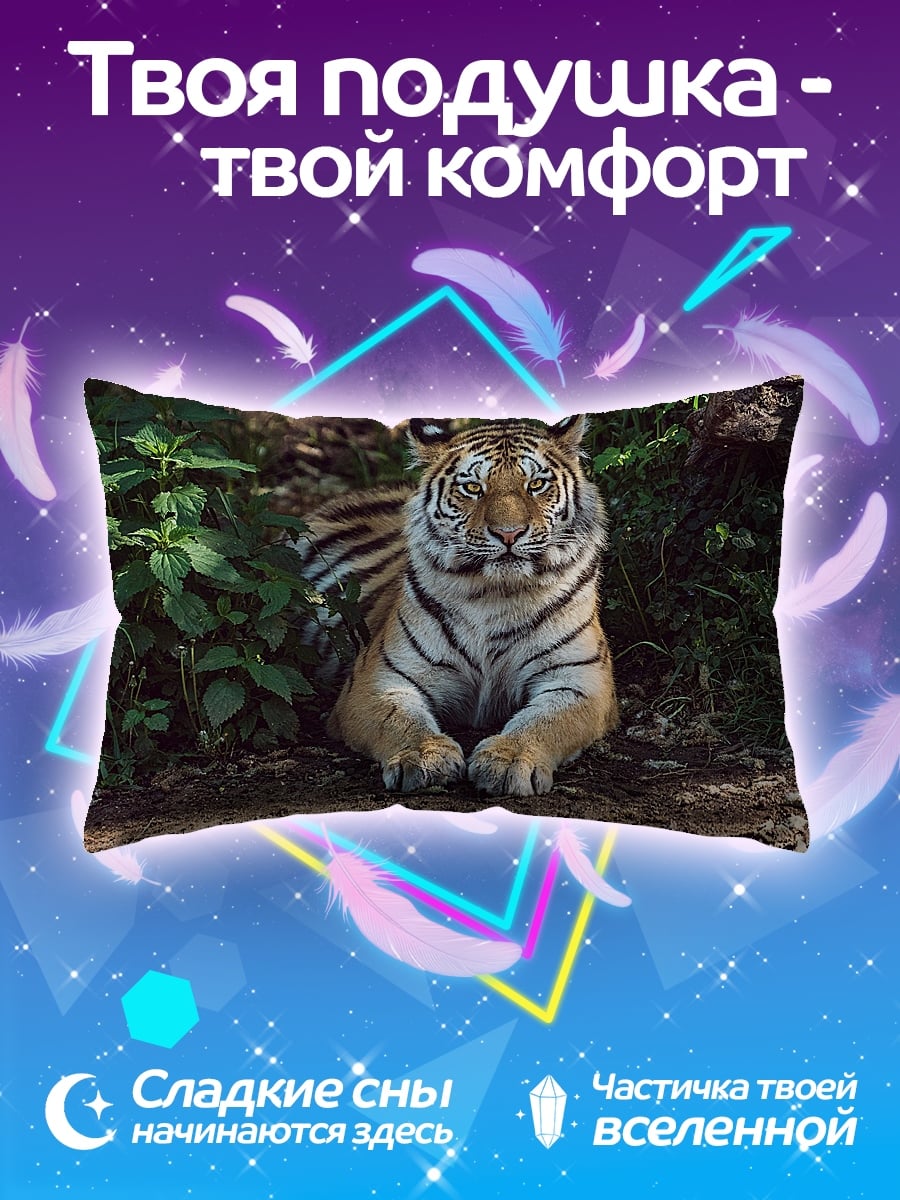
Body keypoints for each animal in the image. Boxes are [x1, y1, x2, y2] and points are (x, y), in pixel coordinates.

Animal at [296, 414, 618, 797]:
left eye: (537, 484)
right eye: (473, 488)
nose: (508, 534)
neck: (497, 595)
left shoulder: (579, 679)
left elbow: (546, 720)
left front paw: (509, 759)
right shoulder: (378, 679)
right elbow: (399, 719)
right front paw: (424, 756)